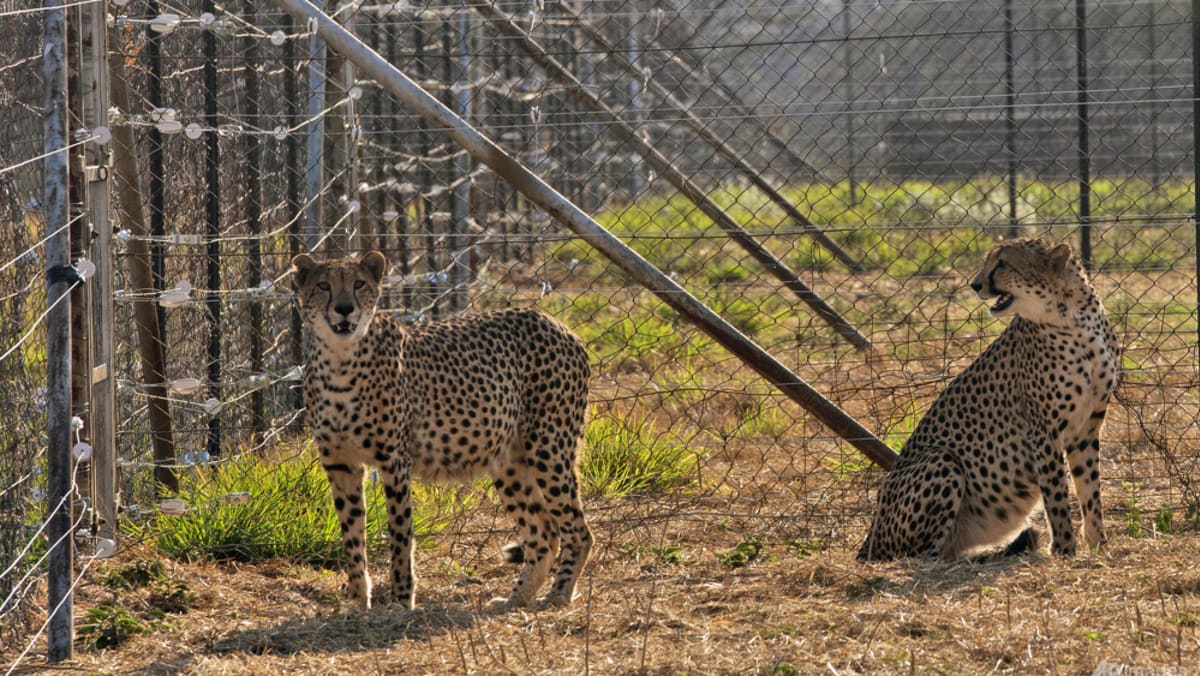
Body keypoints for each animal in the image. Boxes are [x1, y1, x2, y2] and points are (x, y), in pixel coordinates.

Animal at [290, 250, 590, 609]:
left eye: (359, 284)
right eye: (323, 285)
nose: (345, 308)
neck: (340, 359)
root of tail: (554, 321)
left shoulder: (394, 461)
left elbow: (400, 535)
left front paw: (401, 600)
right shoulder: (340, 464)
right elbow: (351, 536)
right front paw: (359, 602)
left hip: (548, 448)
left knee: (578, 530)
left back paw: (559, 595)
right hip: (508, 461)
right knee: (544, 532)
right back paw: (515, 599)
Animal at [859, 237, 1118, 561]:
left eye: (1002, 263)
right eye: (989, 261)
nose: (975, 284)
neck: (1074, 318)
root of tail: (869, 538)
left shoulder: (1086, 427)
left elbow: (1089, 488)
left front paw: (1098, 545)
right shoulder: (1043, 430)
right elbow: (1056, 494)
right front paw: (1064, 549)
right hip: (942, 459)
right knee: (922, 554)